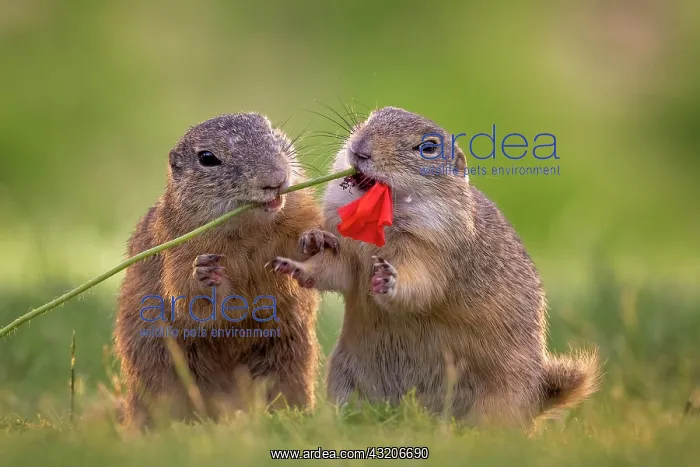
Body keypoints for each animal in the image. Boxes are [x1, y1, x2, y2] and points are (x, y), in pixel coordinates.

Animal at [114, 113, 322, 428]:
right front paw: (205, 273)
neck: (248, 228)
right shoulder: (177, 249)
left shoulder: (295, 217)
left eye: (270, 131)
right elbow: (190, 299)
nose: (275, 178)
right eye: (207, 158)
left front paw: (314, 240)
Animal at [268, 106, 601, 426]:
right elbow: (335, 272)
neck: (382, 227)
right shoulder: (349, 252)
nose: (360, 150)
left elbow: (420, 286)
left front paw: (387, 279)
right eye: (370, 118)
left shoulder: (434, 253)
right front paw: (301, 254)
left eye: (428, 147)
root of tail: (536, 402)